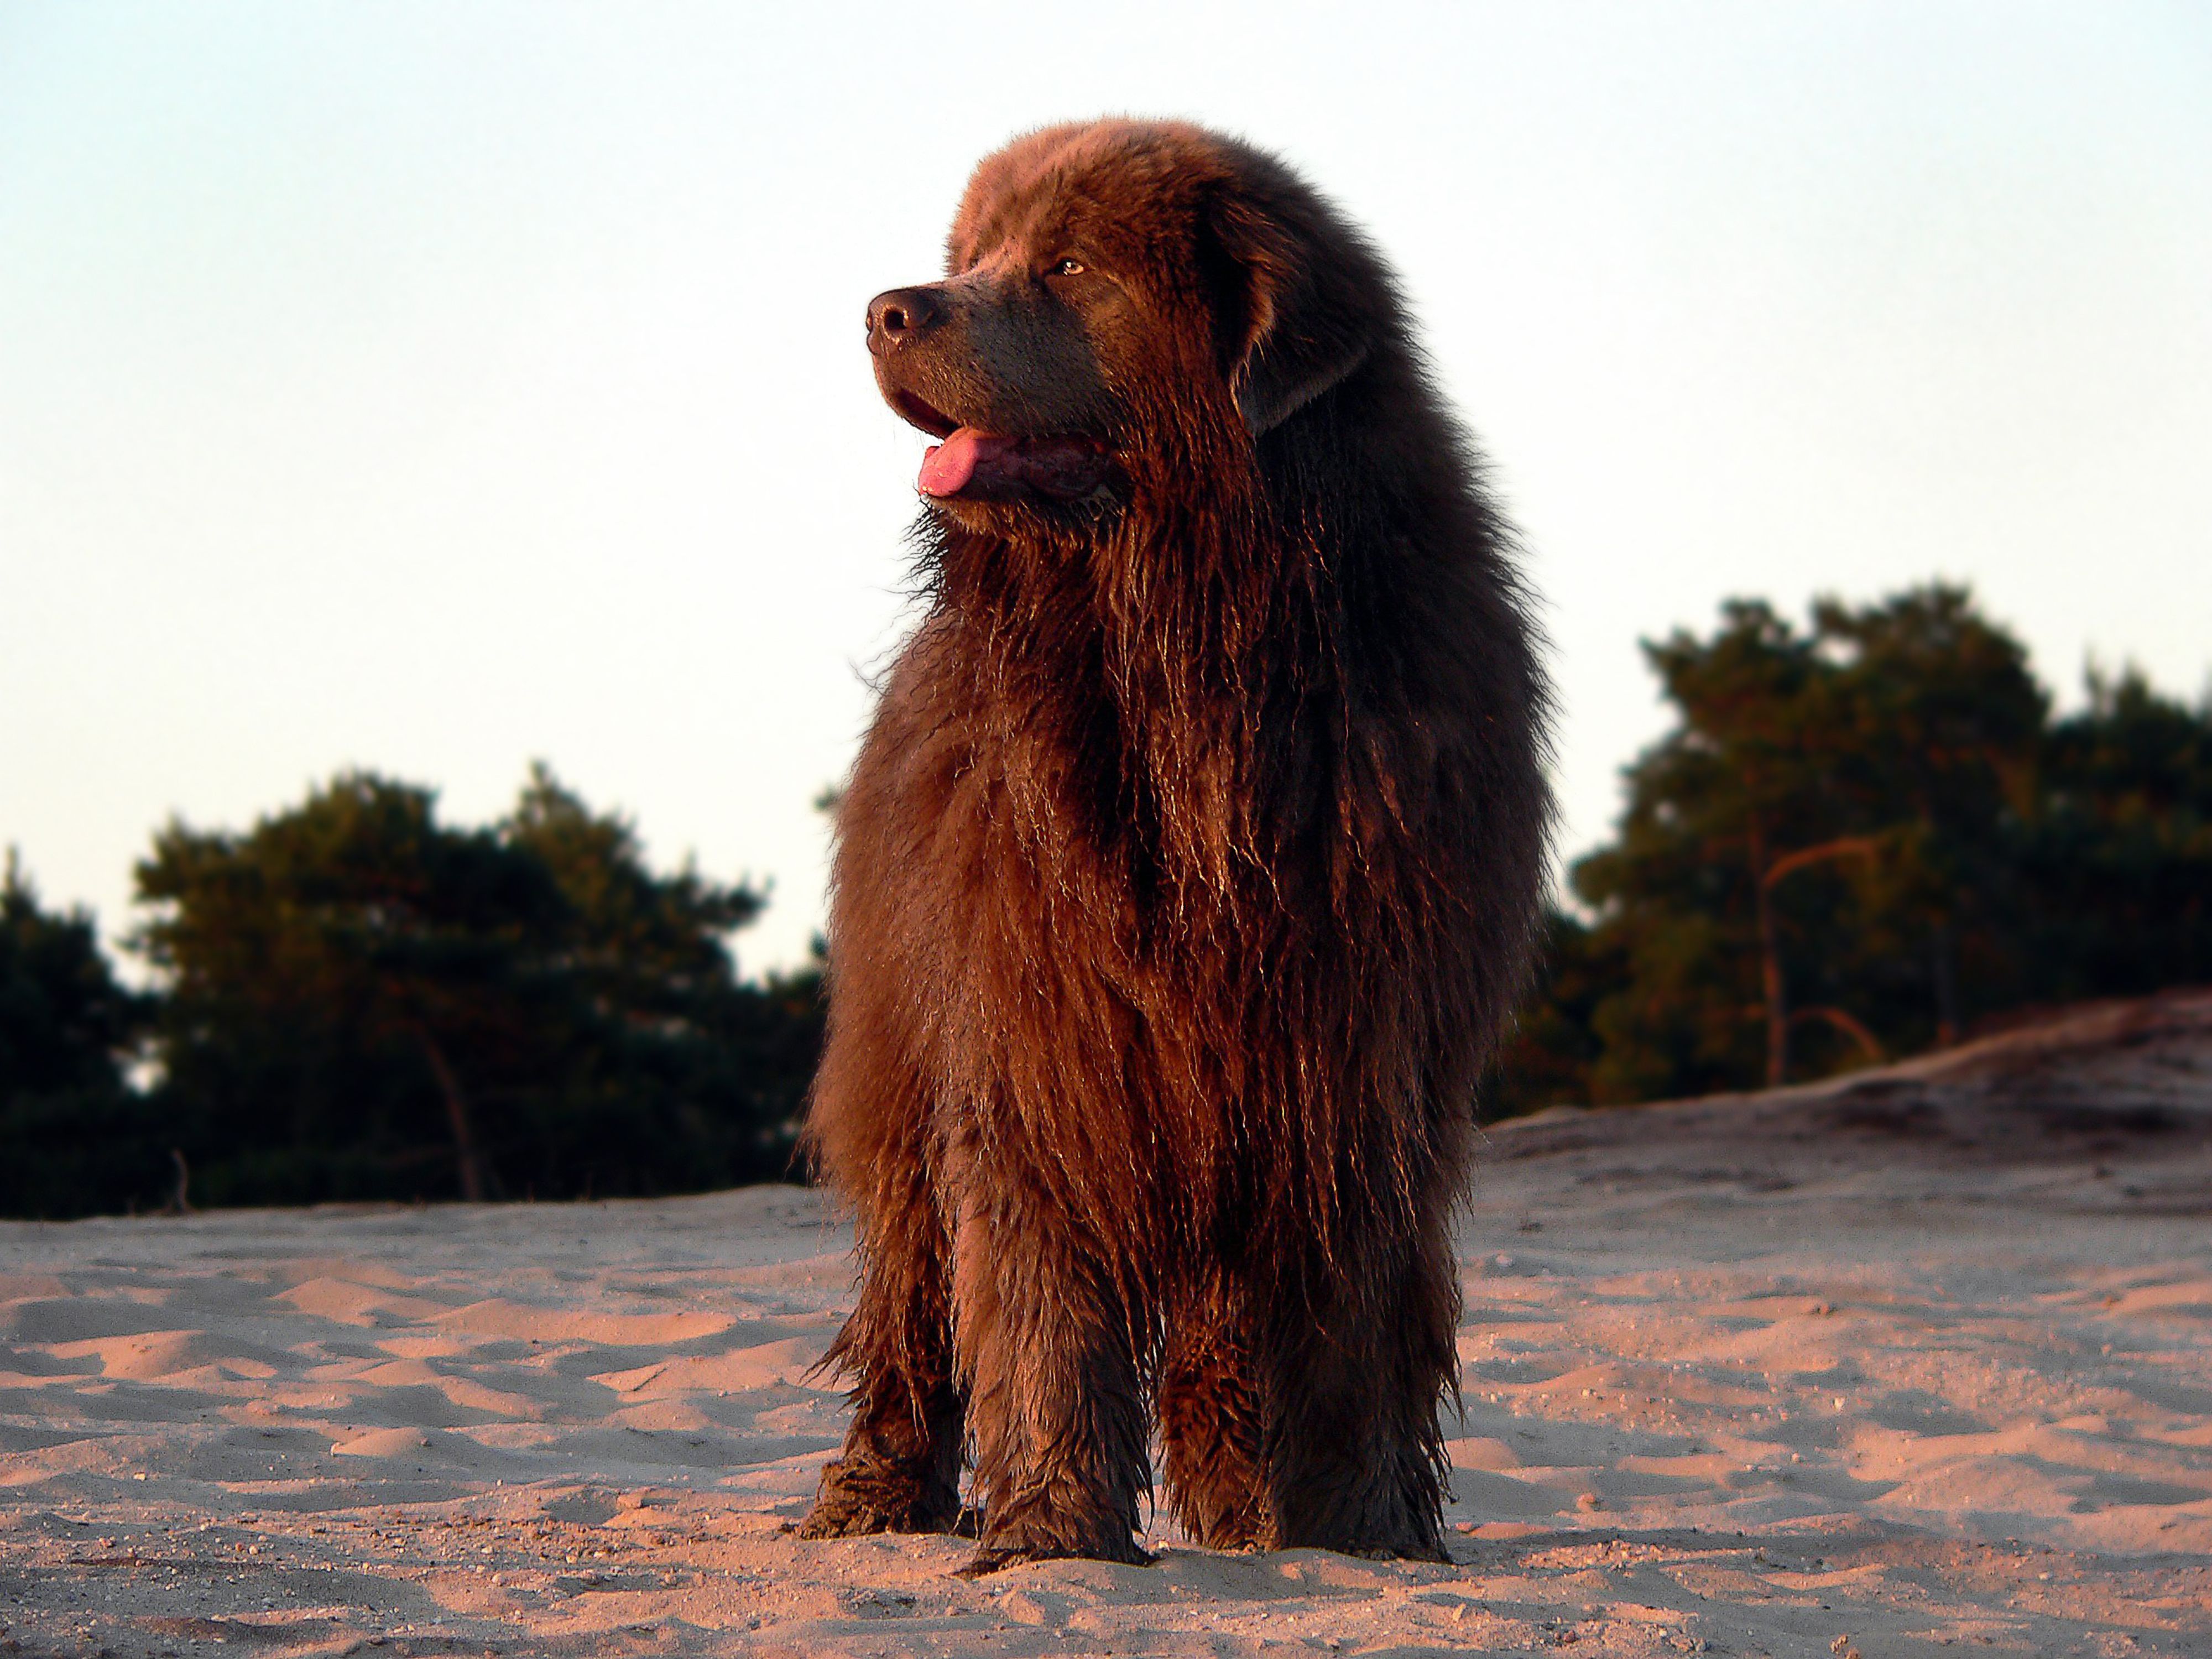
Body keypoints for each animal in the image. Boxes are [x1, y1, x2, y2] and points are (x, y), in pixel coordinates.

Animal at [801, 117, 1557, 1575]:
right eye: (967, 256)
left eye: (1066, 265)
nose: (886, 309)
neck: (1188, 648)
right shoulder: (1040, 1031)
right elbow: (1037, 1299)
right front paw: (1052, 1533)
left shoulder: (1350, 1058)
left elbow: (1348, 1320)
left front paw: (1356, 1531)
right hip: (904, 1065)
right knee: (911, 1303)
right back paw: (869, 1494)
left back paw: (1242, 1508)